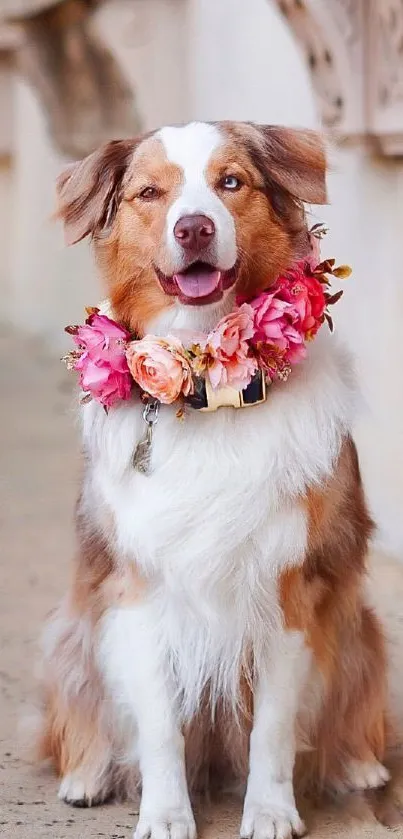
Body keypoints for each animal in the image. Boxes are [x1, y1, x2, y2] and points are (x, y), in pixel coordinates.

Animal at [38, 123, 392, 839]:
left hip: (360, 627)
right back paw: (87, 773)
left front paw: (270, 811)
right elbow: (160, 728)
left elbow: (274, 729)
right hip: (74, 630)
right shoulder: (137, 591)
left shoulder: (292, 592)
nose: (195, 228)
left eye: (232, 182)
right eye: (150, 193)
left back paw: (359, 764)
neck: (208, 388)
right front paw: (166, 814)